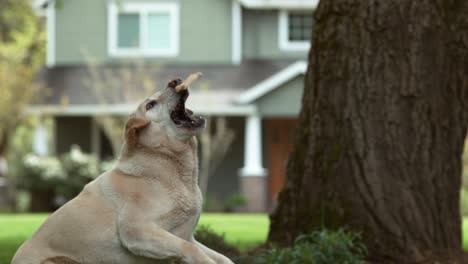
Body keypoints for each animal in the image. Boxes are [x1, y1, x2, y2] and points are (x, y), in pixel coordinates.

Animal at [12, 76, 234, 264]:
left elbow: (222, 257)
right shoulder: (137, 231)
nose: (175, 81)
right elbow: (190, 250)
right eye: (150, 105)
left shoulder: (188, 236)